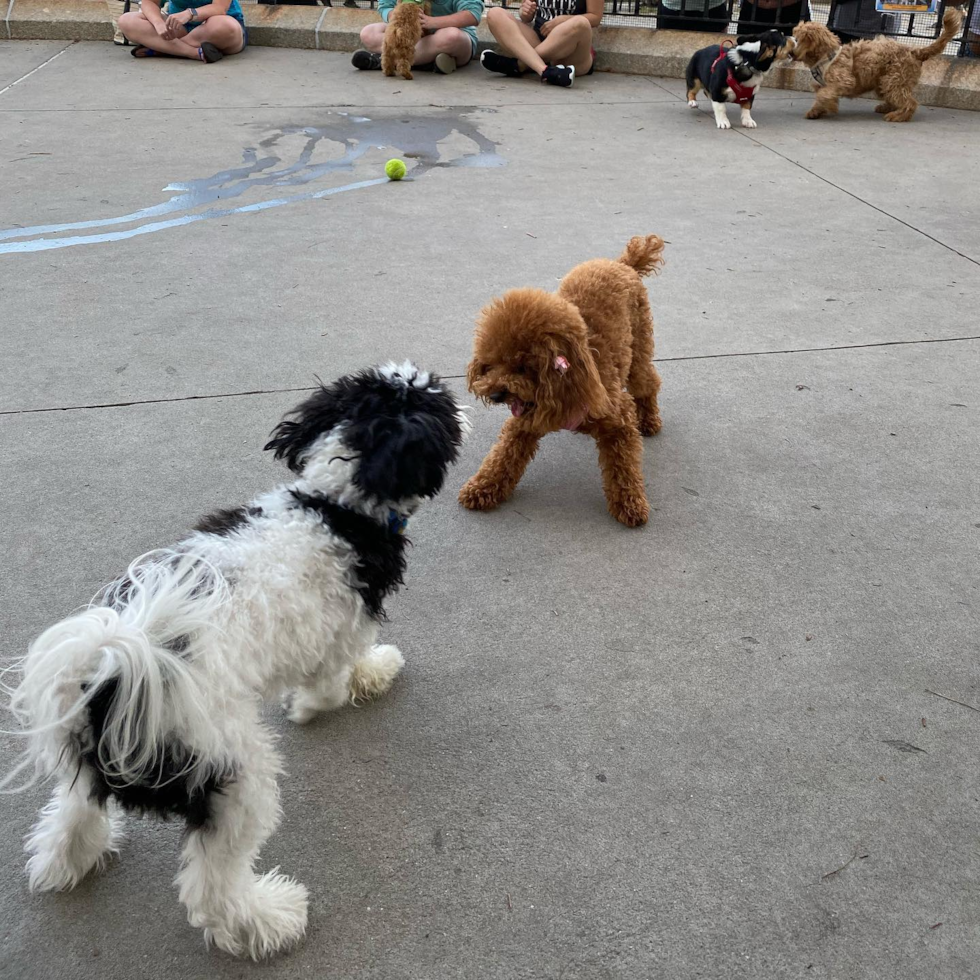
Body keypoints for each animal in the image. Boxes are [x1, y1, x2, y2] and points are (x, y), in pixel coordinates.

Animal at [3, 360, 470, 956]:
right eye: (438, 405)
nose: (464, 405)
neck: (333, 506)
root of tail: (115, 671)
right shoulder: (341, 628)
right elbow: (336, 677)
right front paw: (354, 683)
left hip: (93, 756)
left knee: (75, 809)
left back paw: (62, 863)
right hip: (232, 773)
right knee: (213, 887)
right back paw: (270, 920)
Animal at [460, 235, 668, 528]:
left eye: (522, 367)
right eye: (491, 364)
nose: (496, 394)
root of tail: (622, 263)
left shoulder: (620, 421)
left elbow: (623, 468)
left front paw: (631, 504)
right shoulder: (524, 421)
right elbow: (503, 455)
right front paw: (482, 487)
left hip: (638, 350)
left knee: (648, 382)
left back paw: (649, 420)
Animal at [788, 7, 964, 122]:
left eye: (805, 39)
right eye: (796, 37)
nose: (791, 53)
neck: (825, 56)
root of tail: (915, 51)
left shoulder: (843, 81)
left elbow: (824, 94)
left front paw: (829, 106)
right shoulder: (823, 84)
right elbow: (821, 95)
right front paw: (816, 110)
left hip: (894, 79)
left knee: (910, 102)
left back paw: (898, 116)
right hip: (885, 81)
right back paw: (888, 107)